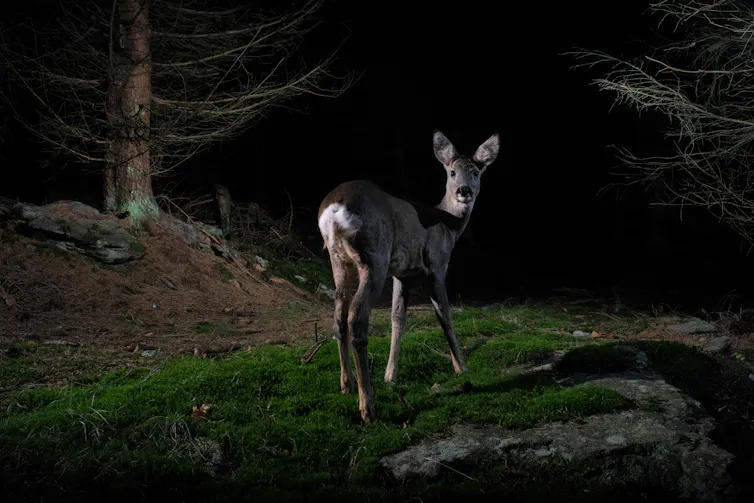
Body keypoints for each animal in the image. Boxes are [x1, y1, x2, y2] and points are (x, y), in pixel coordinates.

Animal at [317, 130, 500, 422]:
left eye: (476, 172)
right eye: (451, 172)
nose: (464, 191)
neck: (449, 225)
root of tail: (334, 209)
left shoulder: (402, 274)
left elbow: (398, 319)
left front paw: (390, 375)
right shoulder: (436, 264)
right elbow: (444, 315)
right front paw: (461, 367)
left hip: (338, 260)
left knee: (338, 316)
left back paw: (346, 385)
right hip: (374, 256)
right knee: (356, 317)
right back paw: (368, 407)